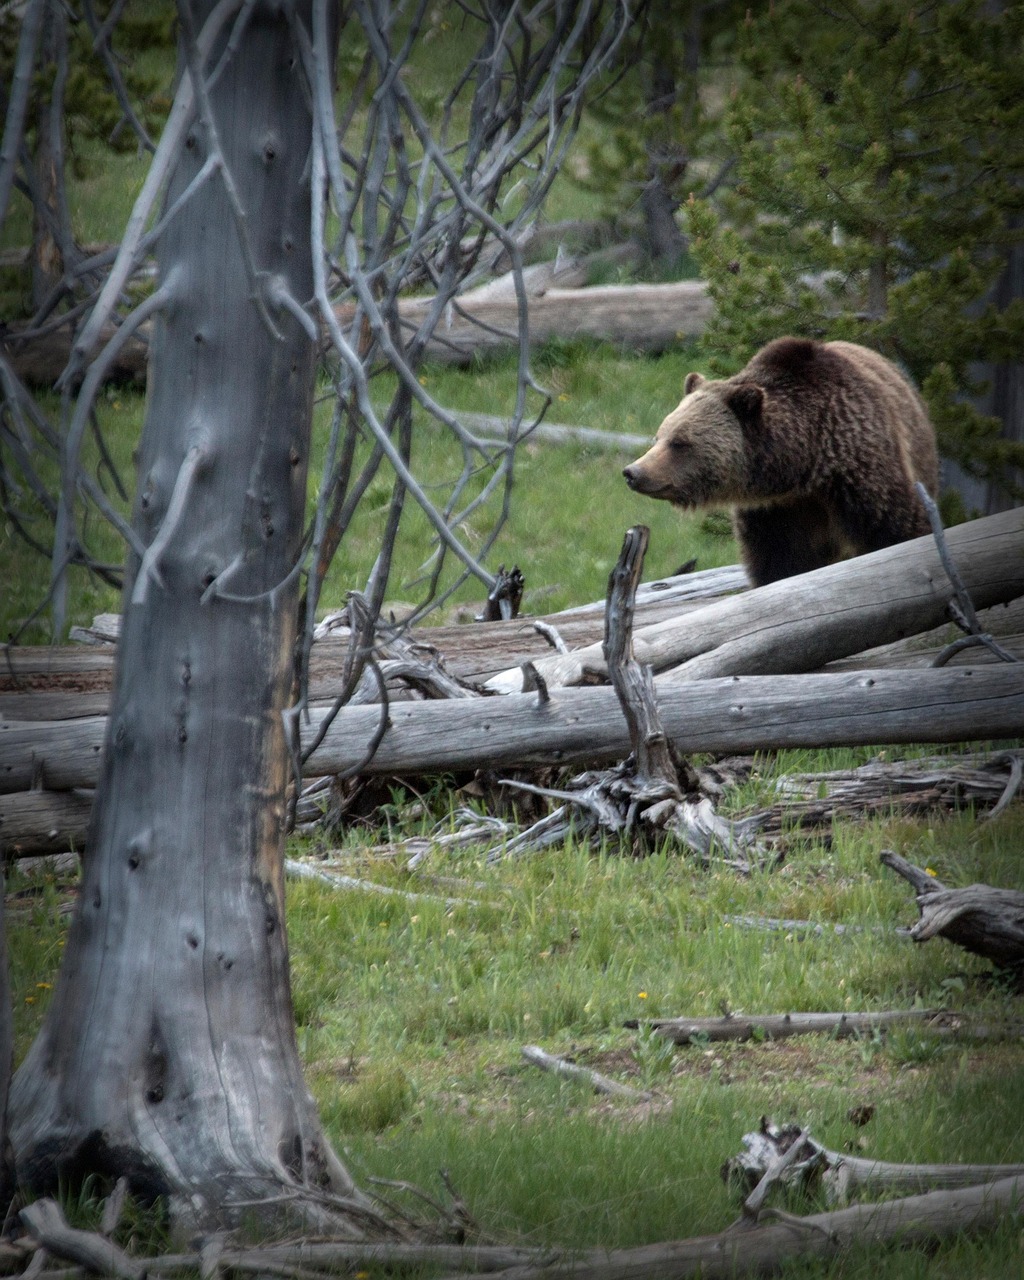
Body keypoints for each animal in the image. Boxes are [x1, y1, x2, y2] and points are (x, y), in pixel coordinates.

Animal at [622, 337, 939, 587]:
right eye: (658, 437)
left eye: (680, 442)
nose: (633, 472)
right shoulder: (774, 511)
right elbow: (780, 563)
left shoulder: (860, 469)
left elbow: (896, 529)